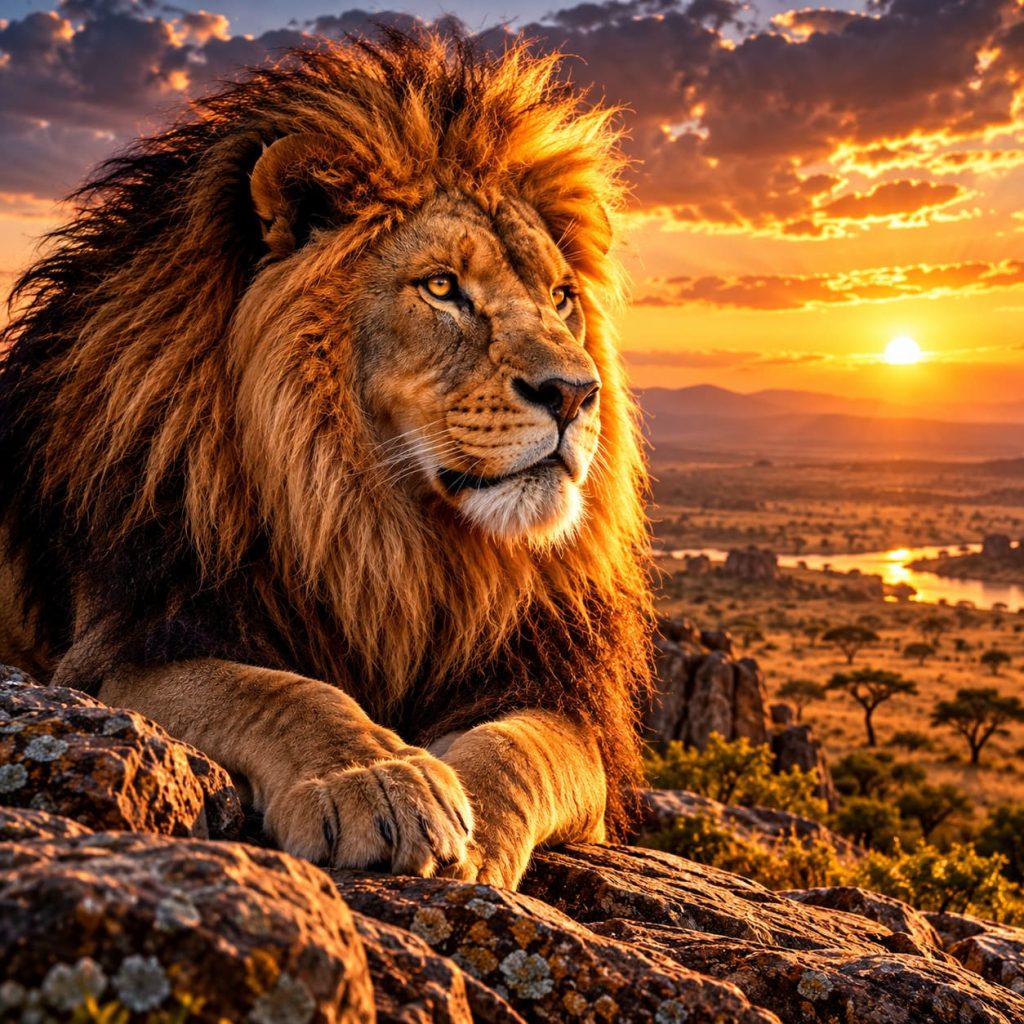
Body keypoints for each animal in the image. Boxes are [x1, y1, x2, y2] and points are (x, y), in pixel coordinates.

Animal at [0, 30, 652, 889]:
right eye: (441, 287)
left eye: (561, 298)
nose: (576, 394)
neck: (381, 535)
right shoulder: (124, 653)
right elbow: (277, 691)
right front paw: (376, 778)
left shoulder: (555, 689)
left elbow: (524, 749)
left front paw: (471, 832)